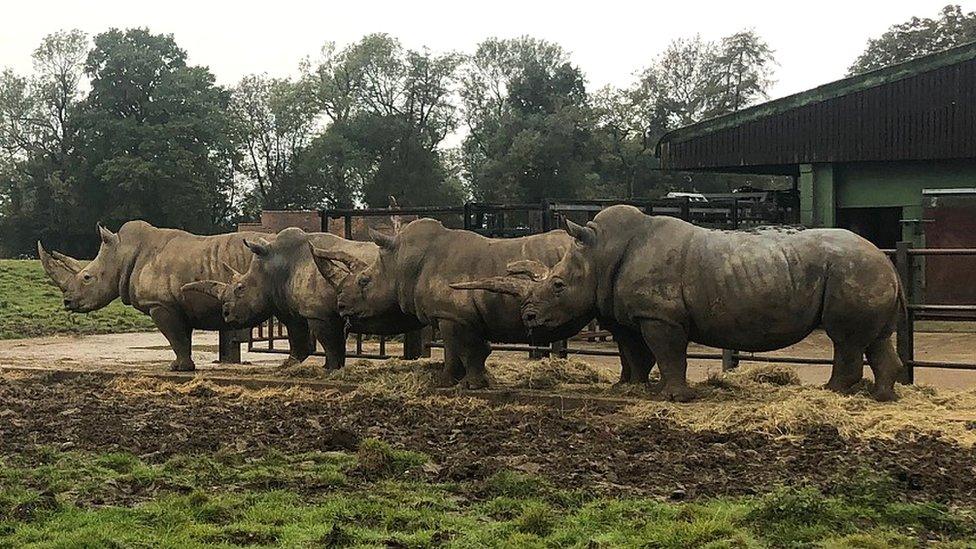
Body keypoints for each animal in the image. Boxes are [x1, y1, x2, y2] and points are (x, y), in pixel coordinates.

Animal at [37, 220, 308, 370]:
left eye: (87, 277)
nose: (67, 302)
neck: (122, 253)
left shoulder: (160, 304)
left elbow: (174, 337)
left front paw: (178, 369)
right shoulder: (179, 304)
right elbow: (182, 339)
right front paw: (182, 366)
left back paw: (292, 365)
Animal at [181, 225, 418, 370]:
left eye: (240, 288)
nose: (226, 315)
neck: (275, 268)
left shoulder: (319, 313)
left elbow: (330, 344)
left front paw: (330, 370)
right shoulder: (294, 308)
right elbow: (300, 338)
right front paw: (290, 366)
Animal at [308, 218, 608, 390]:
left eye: (364, 281)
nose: (341, 306)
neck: (401, 264)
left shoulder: (454, 316)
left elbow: (463, 350)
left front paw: (462, 385)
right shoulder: (455, 316)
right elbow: (462, 351)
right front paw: (459, 383)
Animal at [454, 206, 904, 402]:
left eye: (559, 286)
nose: (528, 317)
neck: (599, 255)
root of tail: (889, 261)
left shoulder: (660, 315)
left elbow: (669, 354)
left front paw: (675, 398)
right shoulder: (628, 314)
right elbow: (633, 352)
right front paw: (629, 387)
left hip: (854, 272)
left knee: (846, 339)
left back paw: (836, 394)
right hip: (866, 273)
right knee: (874, 339)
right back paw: (881, 397)